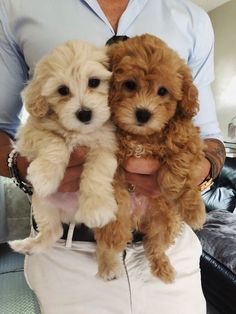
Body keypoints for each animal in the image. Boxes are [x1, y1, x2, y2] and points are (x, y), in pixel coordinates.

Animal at [9, 39, 118, 255]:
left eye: (94, 82)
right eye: (62, 90)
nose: (84, 114)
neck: (80, 131)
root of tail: (70, 215)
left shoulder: (107, 145)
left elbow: (98, 168)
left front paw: (97, 207)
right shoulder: (29, 133)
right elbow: (55, 141)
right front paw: (45, 175)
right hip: (41, 202)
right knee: (53, 231)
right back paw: (27, 245)